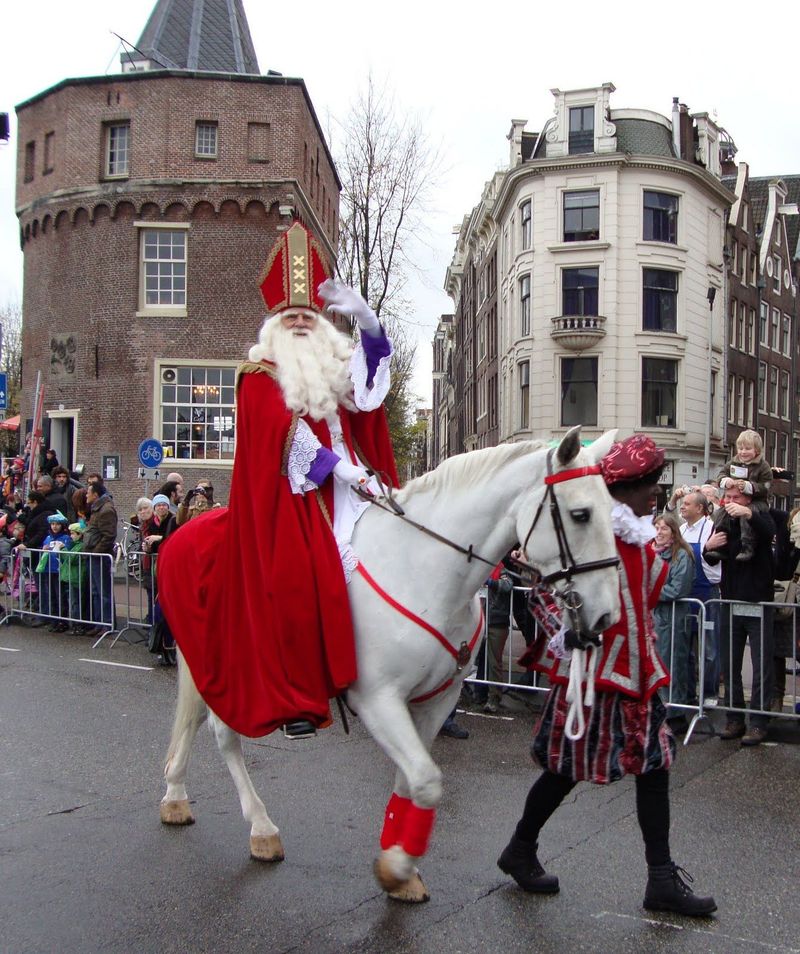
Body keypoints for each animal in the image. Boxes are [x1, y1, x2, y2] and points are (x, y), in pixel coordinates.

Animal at [158, 424, 620, 900]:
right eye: (581, 514)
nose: (605, 617)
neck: (423, 571)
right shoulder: (377, 700)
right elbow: (427, 781)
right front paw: (396, 867)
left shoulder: (436, 700)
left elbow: (411, 781)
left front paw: (401, 868)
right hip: (222, 664)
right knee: (220, 733)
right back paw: (252, 824)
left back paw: (181, 796)